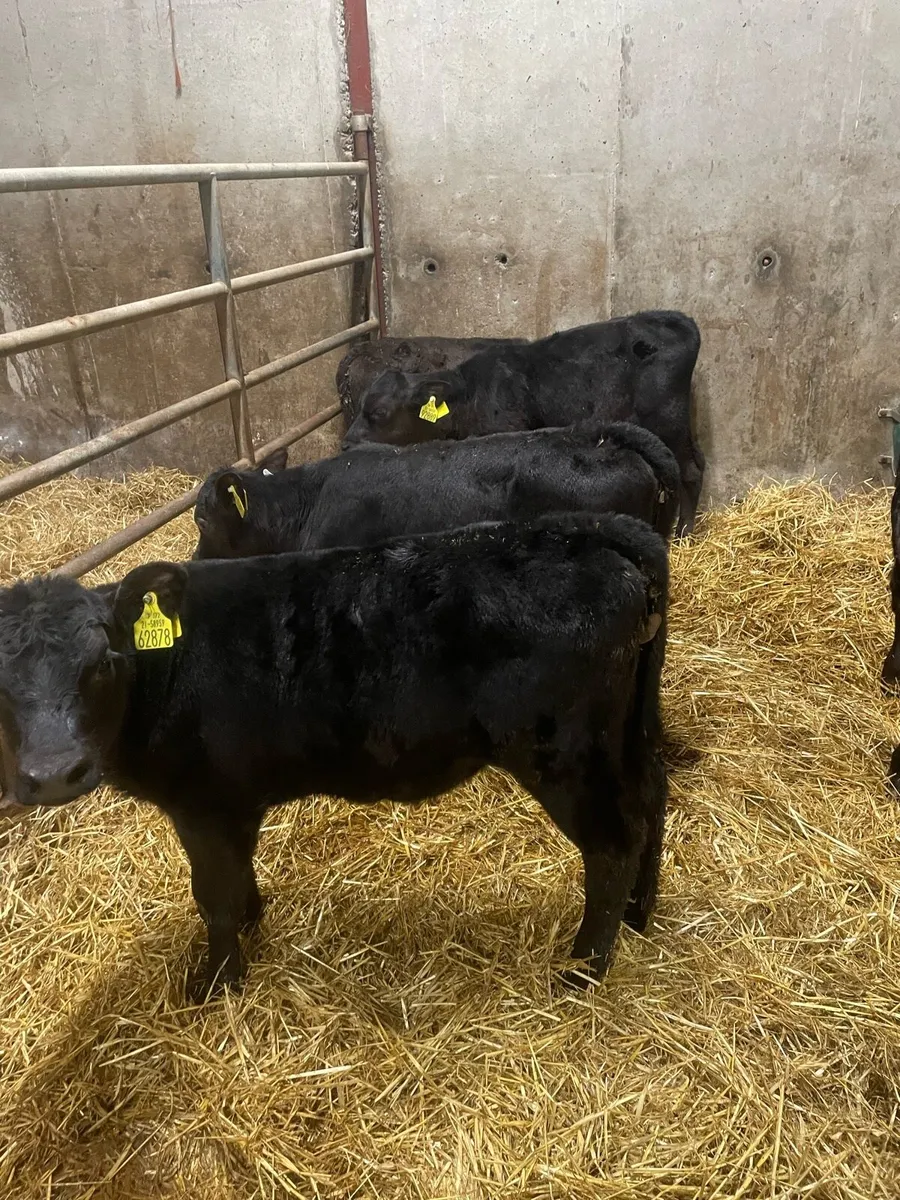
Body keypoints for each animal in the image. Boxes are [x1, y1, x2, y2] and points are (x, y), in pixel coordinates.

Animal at [0, 512, 668, 995]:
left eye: (102, 663)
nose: (54, 775)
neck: (168, 668)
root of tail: (589, 529)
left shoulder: (202, 804)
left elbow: (213, 895)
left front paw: (216, 983)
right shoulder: (232, 802)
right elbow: (237, 877)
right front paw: (253, 923)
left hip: (565, 753)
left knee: (613, 843)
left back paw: (581, 972)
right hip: (628, 734)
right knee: (651, 804)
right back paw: (639, 916)